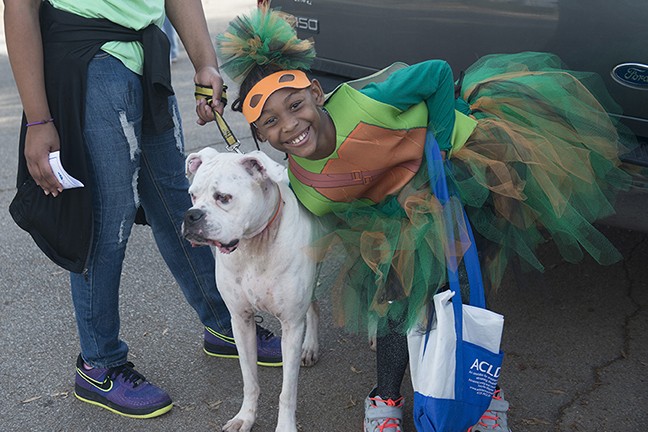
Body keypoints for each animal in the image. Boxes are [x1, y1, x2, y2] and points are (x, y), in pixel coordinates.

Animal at [182, 148, 318, 432]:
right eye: (192, 194)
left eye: (223, 197)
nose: (191, 215)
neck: (254, 246)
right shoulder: (240, 321)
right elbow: (249, 379)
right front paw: (246, 417)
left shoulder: (291, 326)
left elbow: (287, 391)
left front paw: (285, 427)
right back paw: (311, 346)